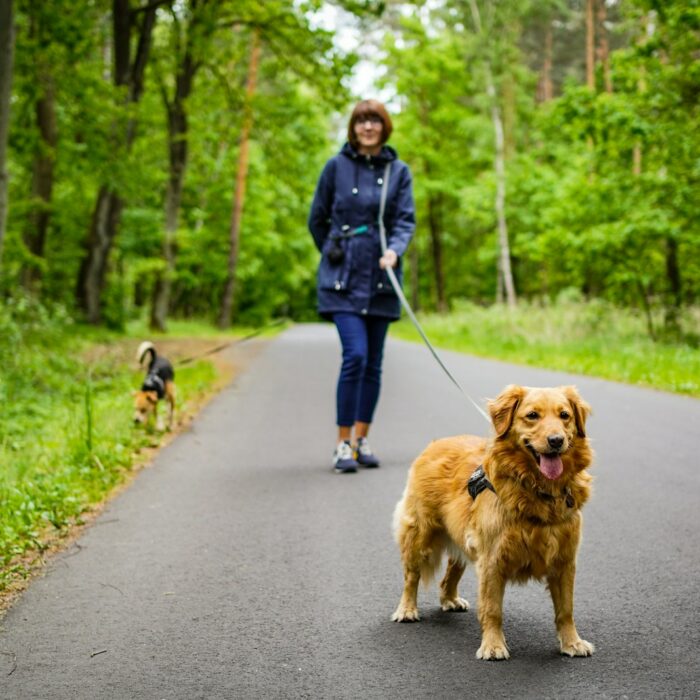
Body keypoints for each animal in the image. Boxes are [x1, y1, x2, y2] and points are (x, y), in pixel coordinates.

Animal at [392, 386, 592, 660]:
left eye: (564, 416)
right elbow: (492, 609)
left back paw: (450, 599)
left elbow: (566, 609)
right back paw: (407, 609)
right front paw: (493, 645)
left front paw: (572, 642)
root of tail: (437, 443)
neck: (536, 490)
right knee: (411, 576)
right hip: (419, 534)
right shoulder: (492, 560)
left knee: (451, 571)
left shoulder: (564, 560)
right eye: (532, 415)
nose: (556, 440)